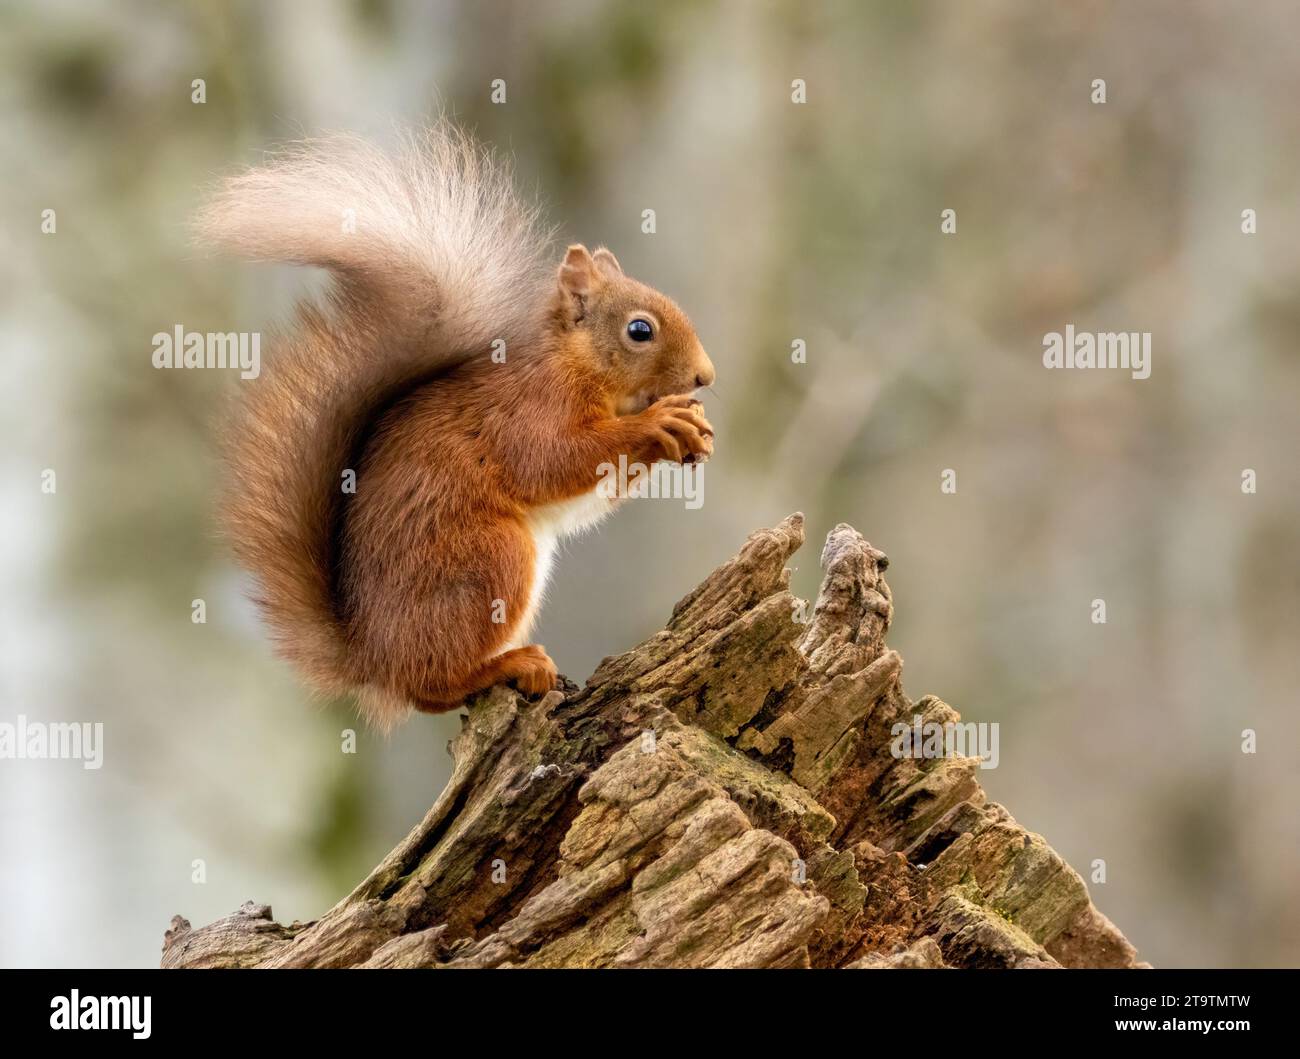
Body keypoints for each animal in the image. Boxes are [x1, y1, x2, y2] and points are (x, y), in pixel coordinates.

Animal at [197, 126, 717, 727]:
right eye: (639, 330)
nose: (705, 377)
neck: (577, 364)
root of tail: (373, 661)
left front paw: (691, 428)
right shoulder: (528, 409)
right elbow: (551, 460)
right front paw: (661, 421)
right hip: (488, 559)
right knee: (431, 686)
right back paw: (507, 665)